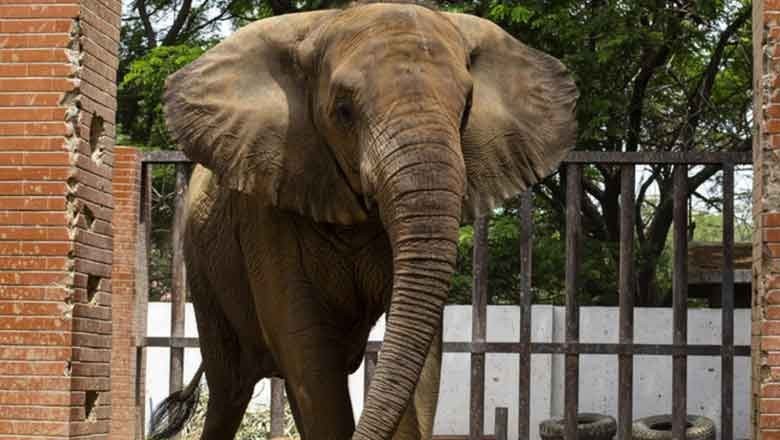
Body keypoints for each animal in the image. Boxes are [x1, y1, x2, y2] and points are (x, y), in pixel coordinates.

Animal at [148, 2, 577, 440]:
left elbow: (420, 352)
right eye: (343, 111)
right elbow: (307, 348)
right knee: (231, 389)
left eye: (466, 110)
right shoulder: (269, 201)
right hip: (204, 273)